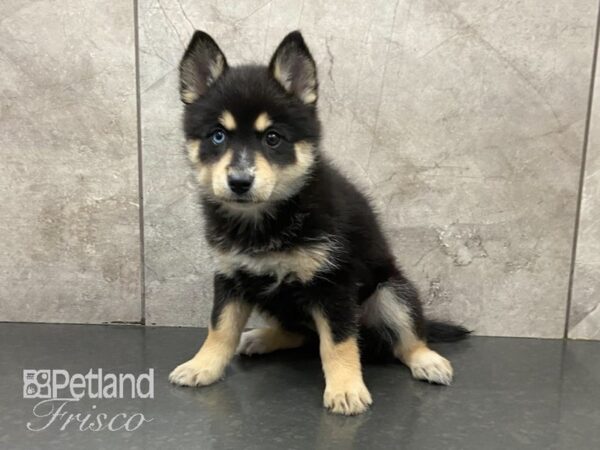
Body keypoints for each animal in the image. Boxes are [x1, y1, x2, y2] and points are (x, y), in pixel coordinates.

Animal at [169, 29, 468, 414]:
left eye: (273, 138)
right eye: (218, 135)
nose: (239, 181)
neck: (266, 220)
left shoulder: (333, 283)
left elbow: (338, 342)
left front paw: (346, 389)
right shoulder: (231, 276)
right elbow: (219, 328)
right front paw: (203, 365)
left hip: (391, 292)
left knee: (406, 339)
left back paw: (427, 359)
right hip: (274, 299)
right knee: (301, 334)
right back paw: (261, 337)